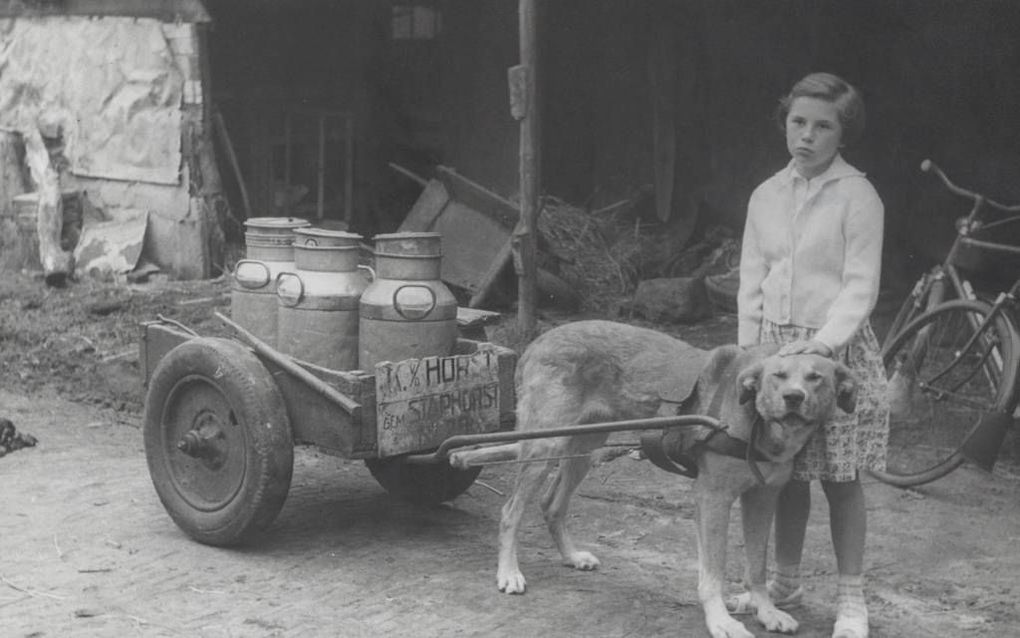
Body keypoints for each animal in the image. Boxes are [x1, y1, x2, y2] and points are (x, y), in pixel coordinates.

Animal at [450, 318, 856, 636]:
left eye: (816, 378)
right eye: (778, 377)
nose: (793, 398)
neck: (755, 418)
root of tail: (539, 340)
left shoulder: (762, 497)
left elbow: (756, 566)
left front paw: (767, 611)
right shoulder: (712, 498)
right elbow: (714, 571)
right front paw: (721, 621)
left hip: (585, 446)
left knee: (551, 504)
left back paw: (571, 556)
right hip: (544, 446)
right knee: (511, 511)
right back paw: (508, 572)